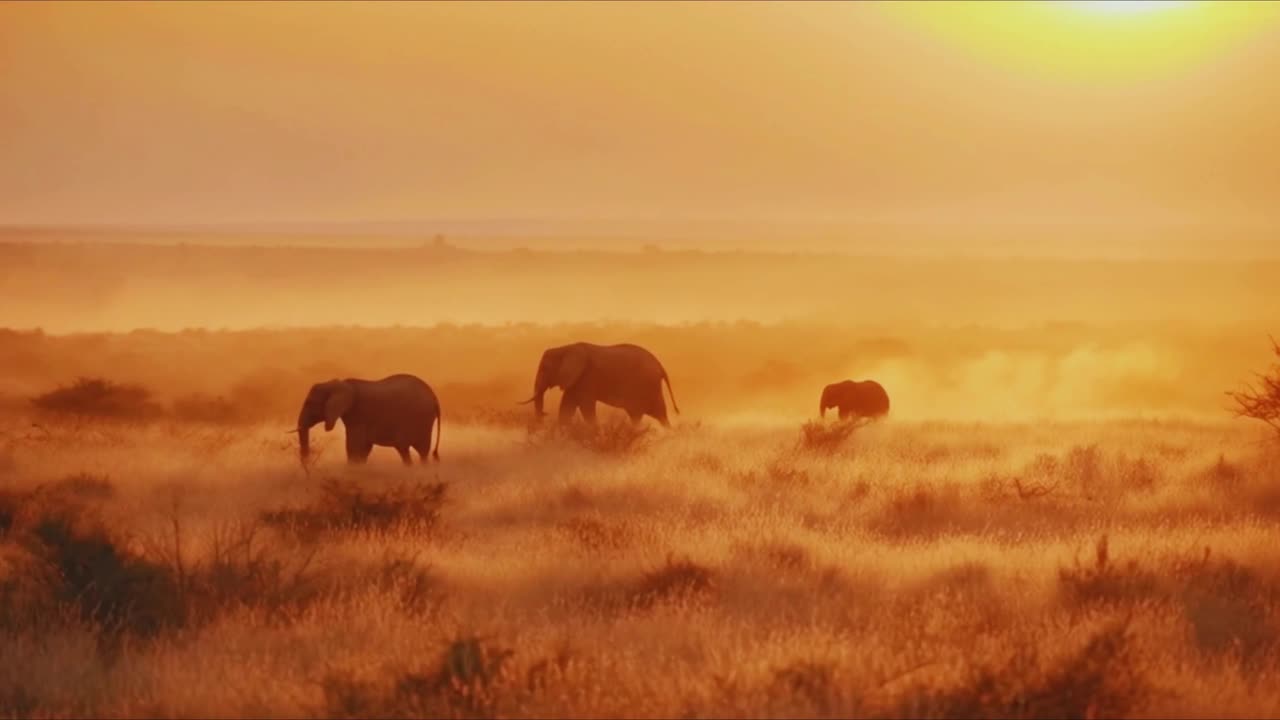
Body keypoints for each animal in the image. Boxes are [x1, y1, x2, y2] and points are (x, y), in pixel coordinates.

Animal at [296, 373, 441, 465]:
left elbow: (353, 446)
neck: (339, 384)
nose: (308, 462)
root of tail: (434, 397)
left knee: (408, 448)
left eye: (309, 403)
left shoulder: (358, 414)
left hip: (420, 419)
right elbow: (364, 448)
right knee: (417, 451)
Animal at [519, 342, 679, 427]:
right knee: (654, 414)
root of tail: (660, 366)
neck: (565, 348)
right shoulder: (576, 379)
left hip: (646, 386)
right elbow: (567, 406)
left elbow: (586, 406)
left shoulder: (586, 377)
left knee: (647, 413)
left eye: (544, 368)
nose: (545, 413)